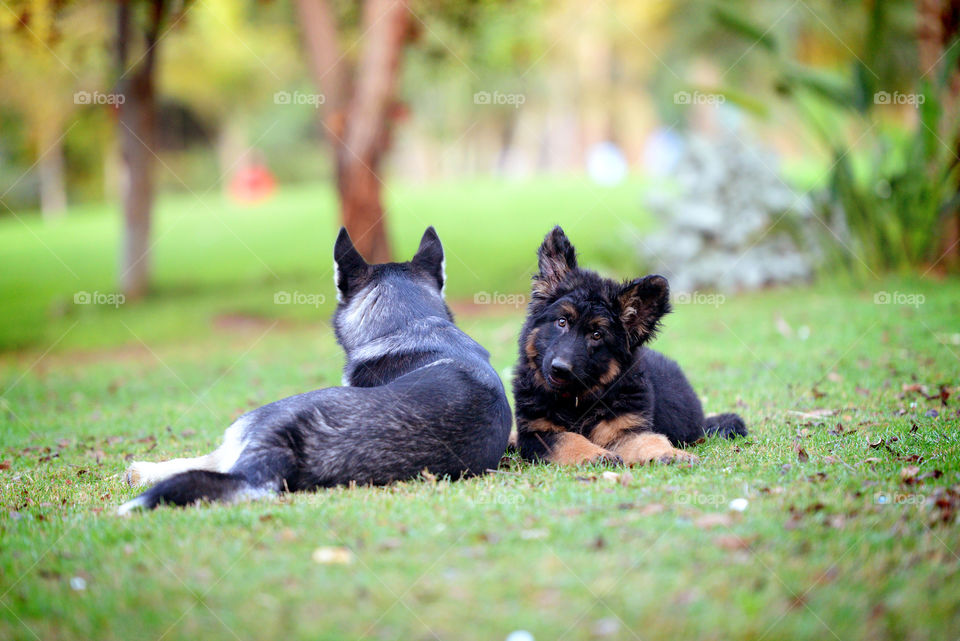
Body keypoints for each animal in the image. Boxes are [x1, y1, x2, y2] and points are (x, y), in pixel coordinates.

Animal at [512, 226, 748, 464]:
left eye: (597, 335)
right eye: (562, 322)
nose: (559, 368)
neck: (578, 401)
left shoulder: (626, 429)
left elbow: (650, 440)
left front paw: (672, 454)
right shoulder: (536, 434)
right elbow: (568, 439)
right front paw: (596, 454)